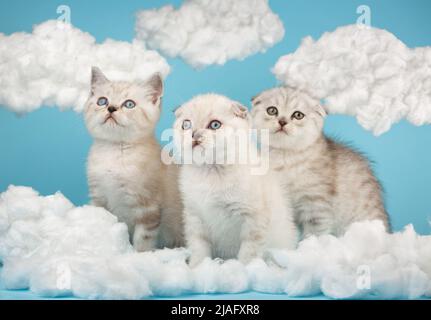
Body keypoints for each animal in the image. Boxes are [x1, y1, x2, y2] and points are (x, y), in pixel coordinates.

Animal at [85, 67, 184, 251]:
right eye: (102, 101)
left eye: (129, 104)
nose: (111, 108)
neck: (114, 151)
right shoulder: (99, 198)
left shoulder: (148, 208)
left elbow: (142, 241)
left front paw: (137, 256)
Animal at [174, 94, 298, 266]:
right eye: (186, 124)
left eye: (215, 125)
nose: (194, 135)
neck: (211, 172)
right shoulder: (195, 216)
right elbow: (199, 246)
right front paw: (197, 266)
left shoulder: (253, 218)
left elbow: (249, 250)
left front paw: (244, 268)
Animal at [251, 87, 394, 238]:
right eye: (272, 110)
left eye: (298, 115)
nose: (282, 122)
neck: (285, 157)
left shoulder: (316, 204)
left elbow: (315, 232)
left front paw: (309, 244)